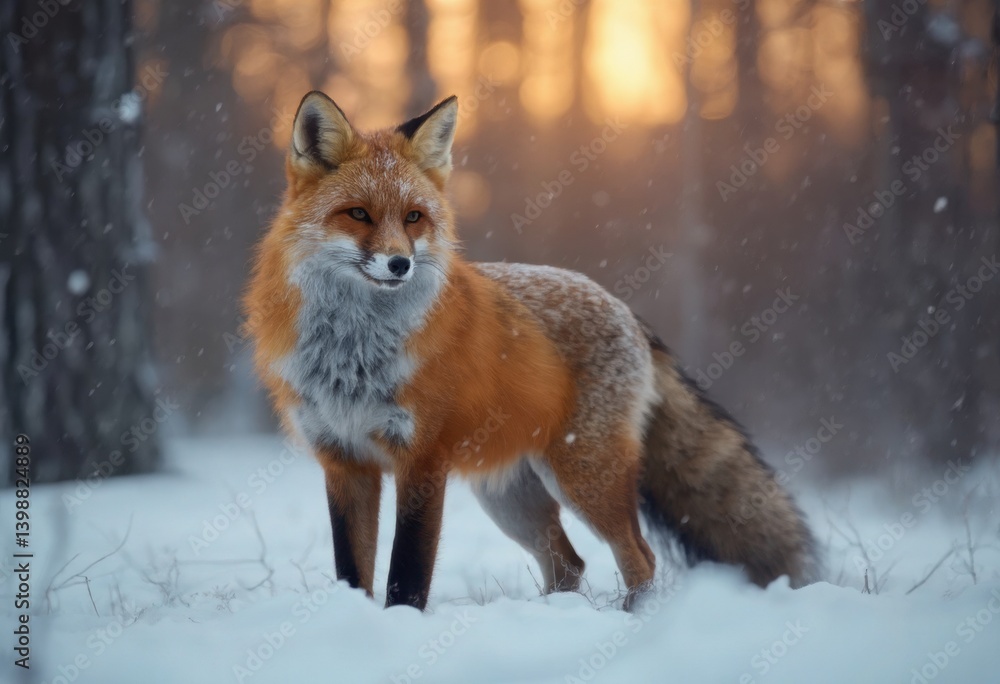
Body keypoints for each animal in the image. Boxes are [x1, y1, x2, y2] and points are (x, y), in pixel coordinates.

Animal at [243, 91, 817, 611]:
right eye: (358, 214)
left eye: (413, 218)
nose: (400, 264)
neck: (353, 350)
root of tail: (626, 310)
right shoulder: (343, 461)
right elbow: (352, 570)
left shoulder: (422, 460)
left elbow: (407, 574)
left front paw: (400, 624)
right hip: (510, 497)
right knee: (569, 563)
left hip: (583, 475)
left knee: (640, 557)